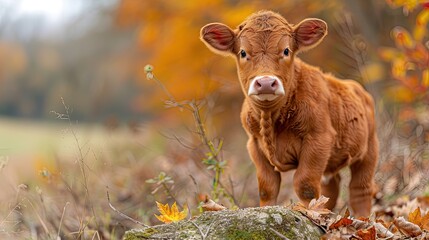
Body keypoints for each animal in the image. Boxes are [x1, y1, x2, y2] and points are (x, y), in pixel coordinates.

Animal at [199, 10, 376, 217]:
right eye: (243, 52)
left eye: (286, 51)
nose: (265, 83)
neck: (270, 119)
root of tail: (356, 87)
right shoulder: (255, 145)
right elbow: (267, 187)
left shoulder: (318, 138)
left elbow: (305, 185)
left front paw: (310, 214)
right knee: (331, 188)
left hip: (369, 149)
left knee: (360, 188)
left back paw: (362, 219)